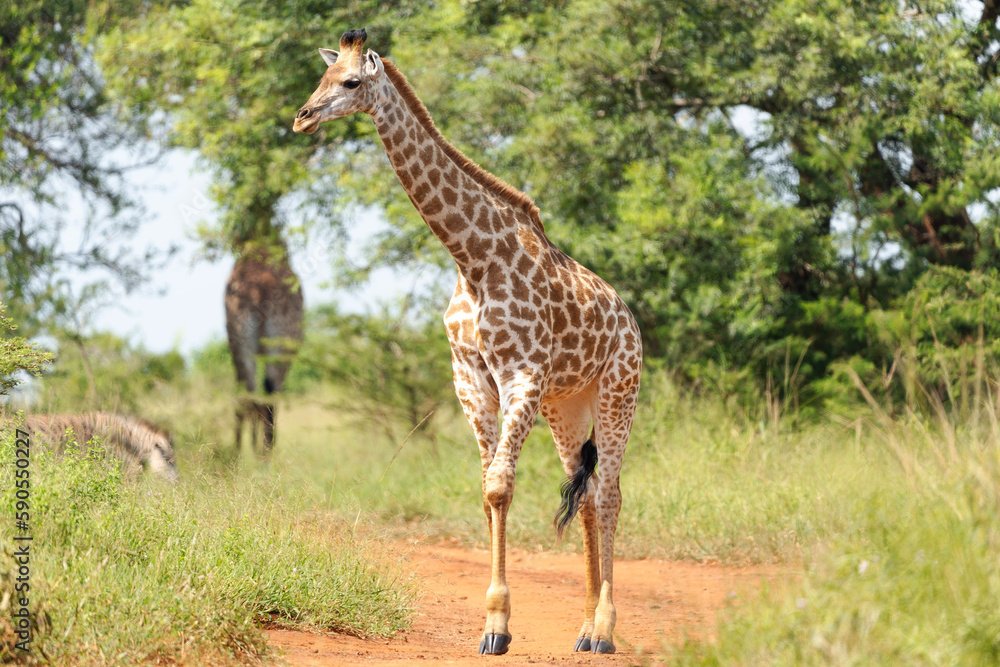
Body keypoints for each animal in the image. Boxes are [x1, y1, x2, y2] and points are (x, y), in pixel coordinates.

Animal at [225, 239, 304, 455]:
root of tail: (259, 291)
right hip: (276, 347)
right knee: (265, 396)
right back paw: (262, 454)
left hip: (245, 344)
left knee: (251, 395)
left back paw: (248, 454)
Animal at [293, 30, 642, 655]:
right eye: (322, 79)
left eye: (351, 82)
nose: (302, 117)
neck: (473, 259)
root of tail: (630, 319)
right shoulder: (471, 376)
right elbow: (486, 490)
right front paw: (494, 624)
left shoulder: (522, 373)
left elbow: (501, 486)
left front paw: (497, 625)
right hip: (567, 407)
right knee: (584, 495)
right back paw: (582, 630)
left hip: (618, 392)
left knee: (609, 495)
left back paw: (604, 632)